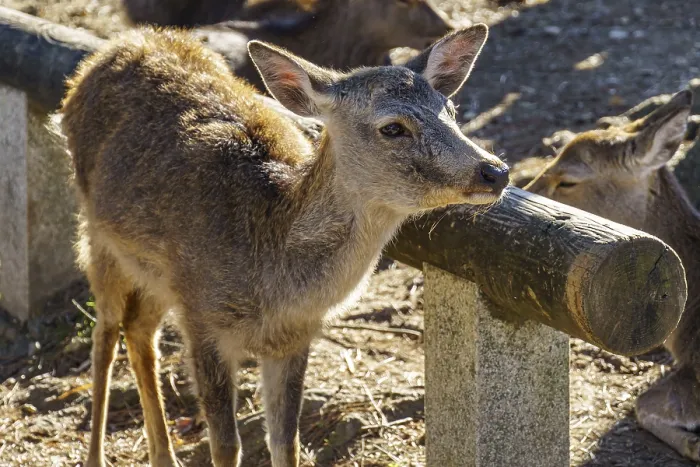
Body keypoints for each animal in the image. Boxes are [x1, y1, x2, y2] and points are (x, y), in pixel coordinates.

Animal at [60, 24, 508, 467]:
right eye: (392, 127)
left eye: (451, 111)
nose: (495, 171)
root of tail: (120, 44)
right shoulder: (202, 319)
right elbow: (226, 447)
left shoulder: (293, 336)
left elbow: (286, 442)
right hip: (97, 232)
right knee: (105, 333)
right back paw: (96, 456)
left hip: (157, 273)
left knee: (139, 330)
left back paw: (163, 457)